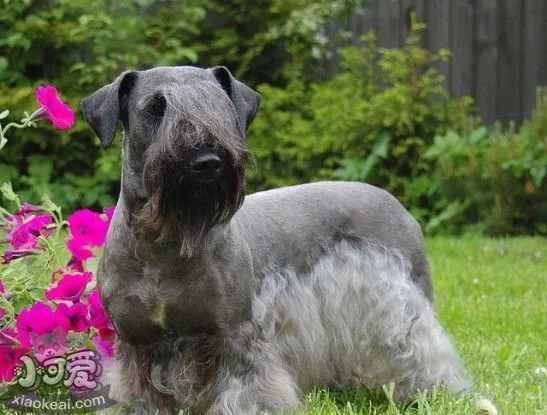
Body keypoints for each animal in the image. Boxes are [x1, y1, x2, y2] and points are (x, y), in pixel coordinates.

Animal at [81, 66, 470, 414]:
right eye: (155, 107)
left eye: (220, 107)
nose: (207, 161)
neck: (165, 247)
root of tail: (399, 206)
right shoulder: (137, 344)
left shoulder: (237, 337)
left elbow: (246, 395)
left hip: (402, 311)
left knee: (424, 353)